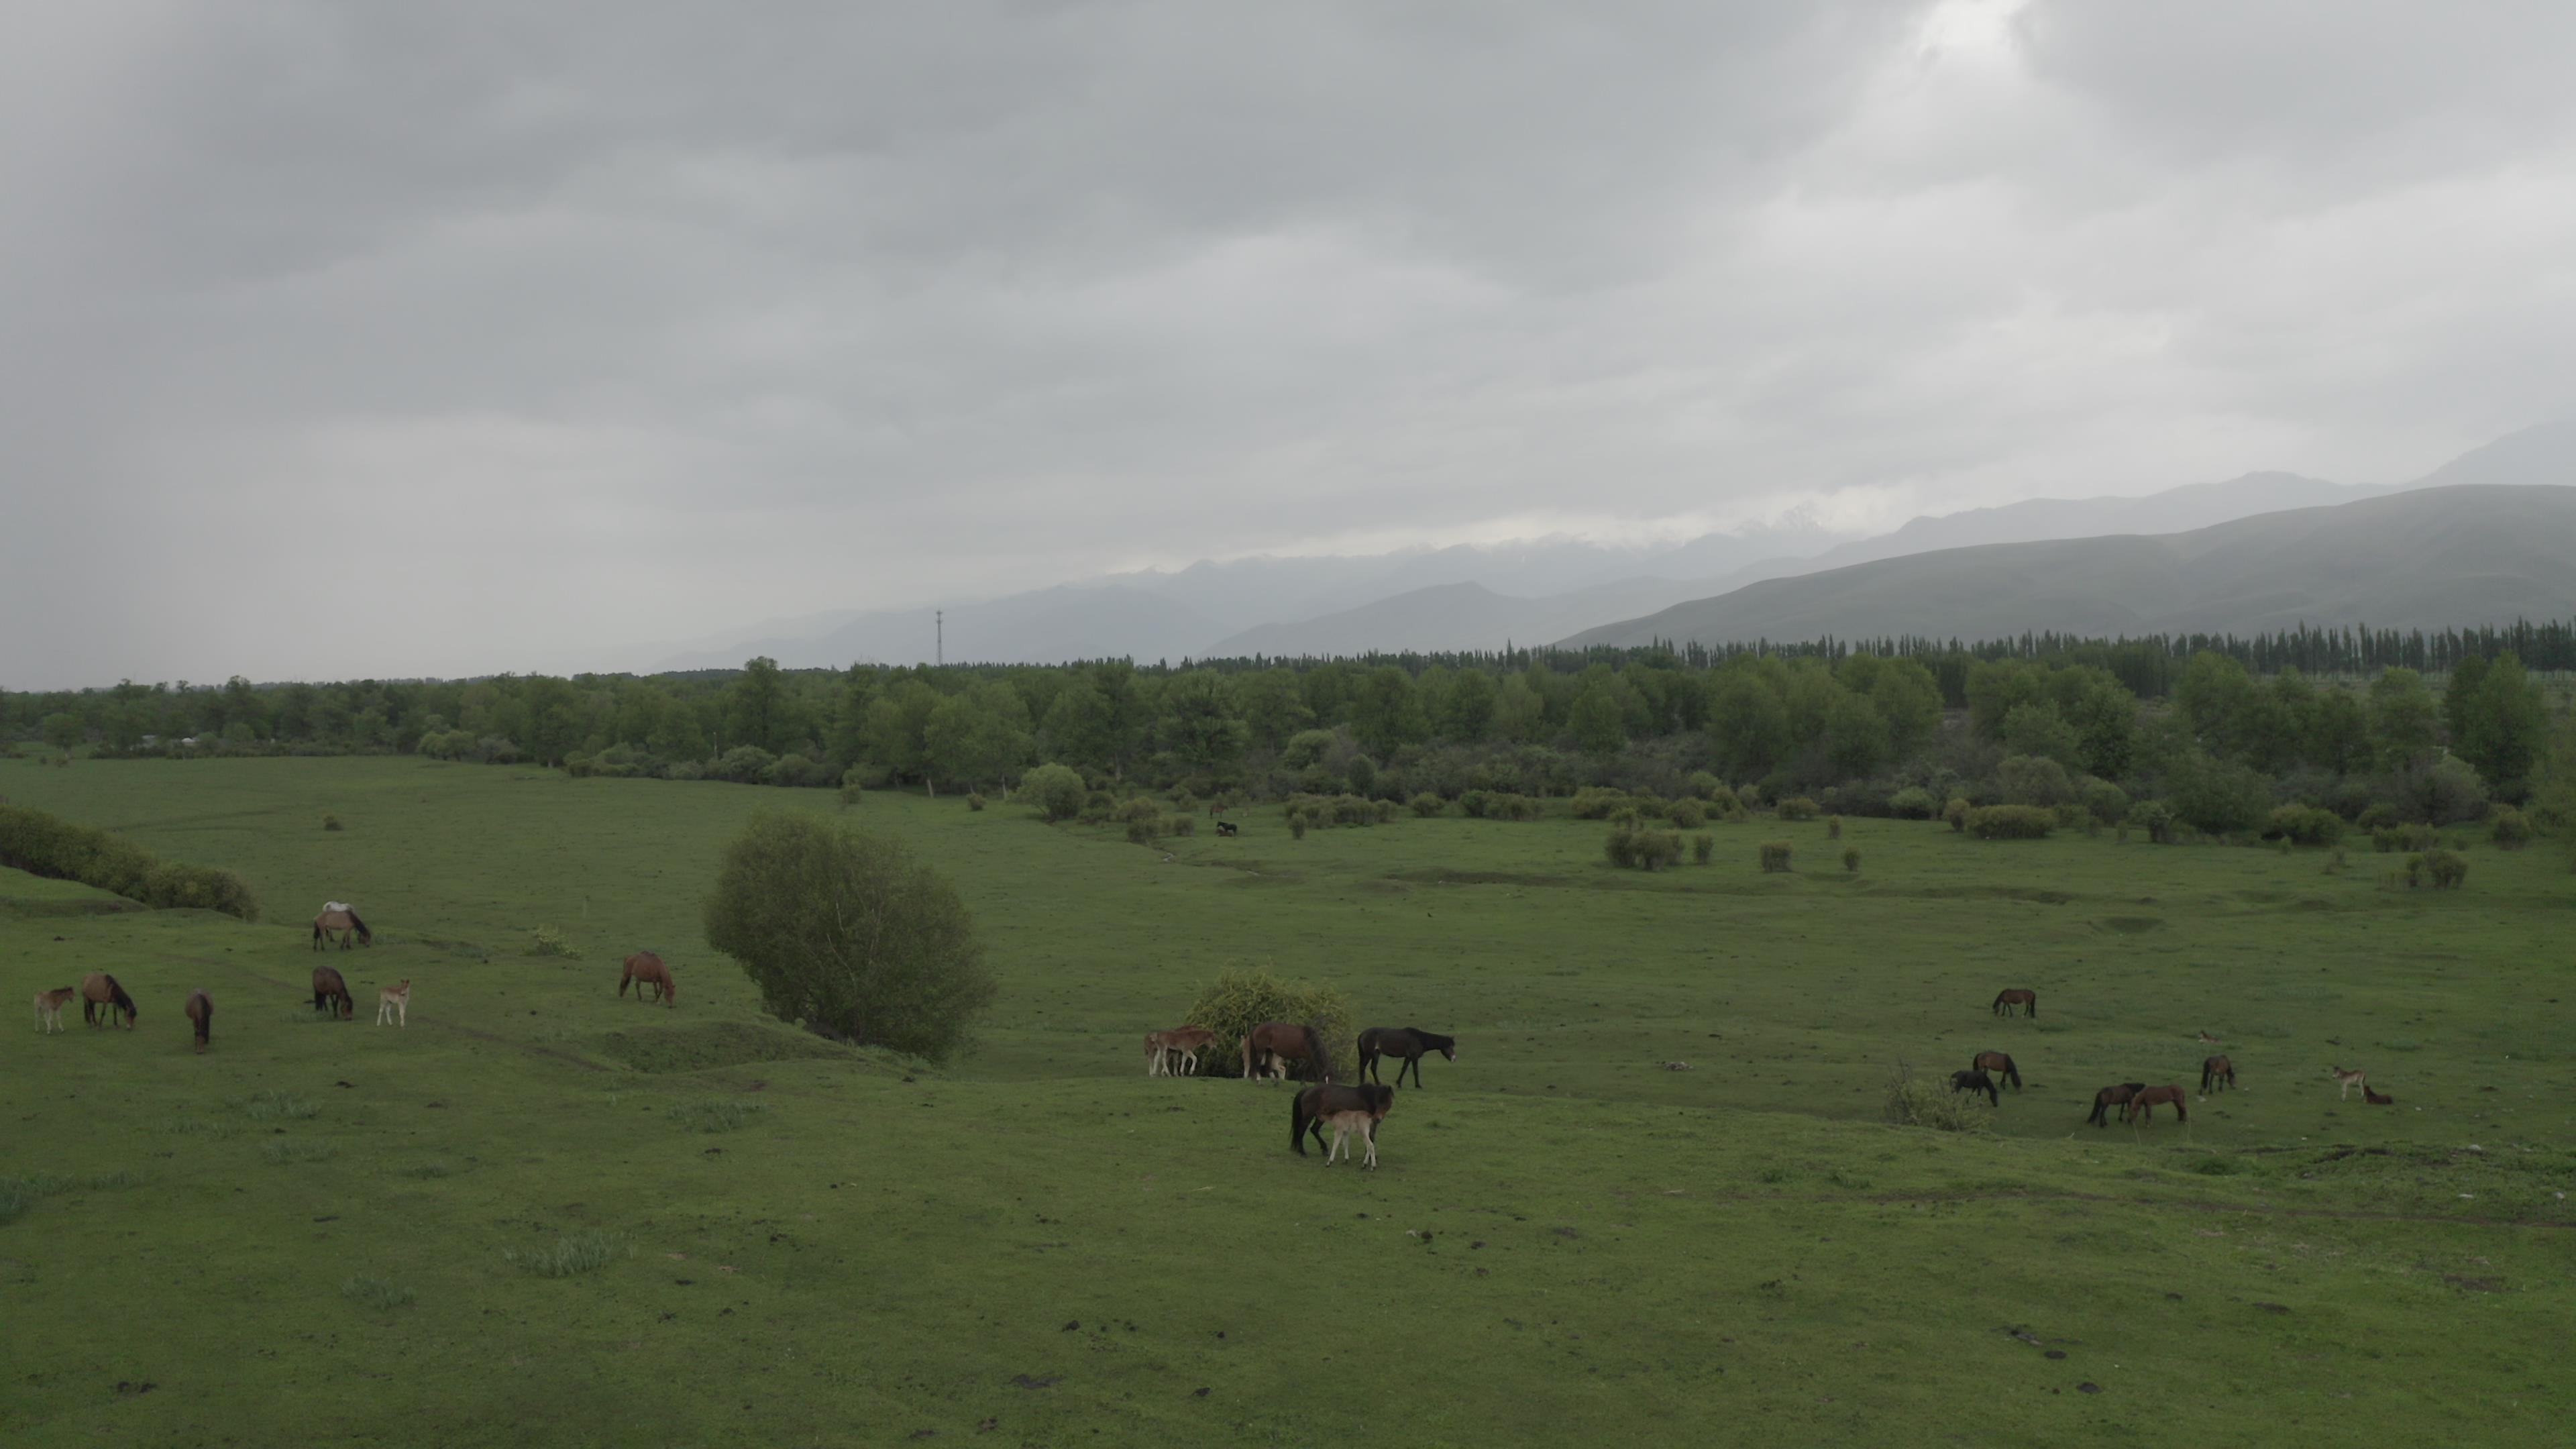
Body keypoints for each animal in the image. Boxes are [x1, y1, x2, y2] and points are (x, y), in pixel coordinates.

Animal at [1283, 1077, 1391, 1165]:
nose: (1378, 1118)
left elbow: (1371, 1139)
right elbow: (1370, 1139)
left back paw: (1324, 1149)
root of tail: (1307, 1090)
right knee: (1301, 1131)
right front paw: (1371, 1158)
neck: (1367, 1098)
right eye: (1378, 1101)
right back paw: (1302, 1152)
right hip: (1308, 1117)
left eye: (1388, 1102)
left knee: (1314, 1130)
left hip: (1320, 1117)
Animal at [1360, 1026, 1463, 1083]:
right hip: (1370, 1055)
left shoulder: (1408, 1057)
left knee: (1372, 1068)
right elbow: (1416, 1071)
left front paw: (1399, 1083)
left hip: (1376, 1054)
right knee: (1365, 1067)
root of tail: (1362, 1034)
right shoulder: (1414, 1057)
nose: (1454, 1058)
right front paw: (1418, 1085)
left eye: (1452, 1046)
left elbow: (1403, 1070)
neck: (1420, 1039)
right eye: (1449, 1047)